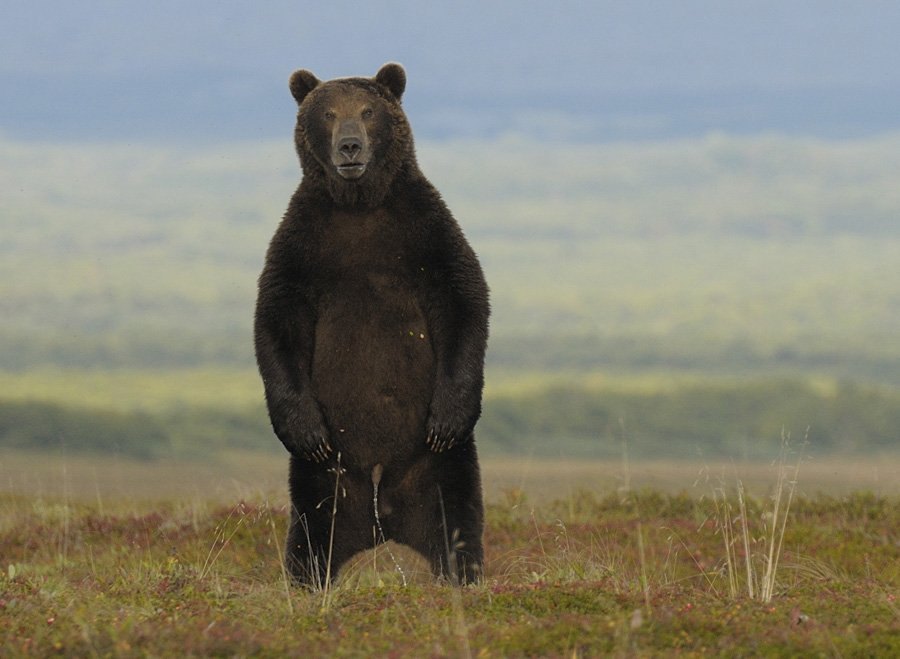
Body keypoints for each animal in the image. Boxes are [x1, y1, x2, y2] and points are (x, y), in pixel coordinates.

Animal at [254, 63, 490, 587]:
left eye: (367, 111)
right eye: (327, 112)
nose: (349, 146)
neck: (359, 203)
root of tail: (384, 511)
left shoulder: (424, 230)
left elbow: (464, 298)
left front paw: (450, 414)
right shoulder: (302, 244)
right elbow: (277, 321)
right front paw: (301, 426)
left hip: (435, 466)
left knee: (455, 513)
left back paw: (462, 573)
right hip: (330, 475)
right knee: (315, 525)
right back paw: (306, 577)